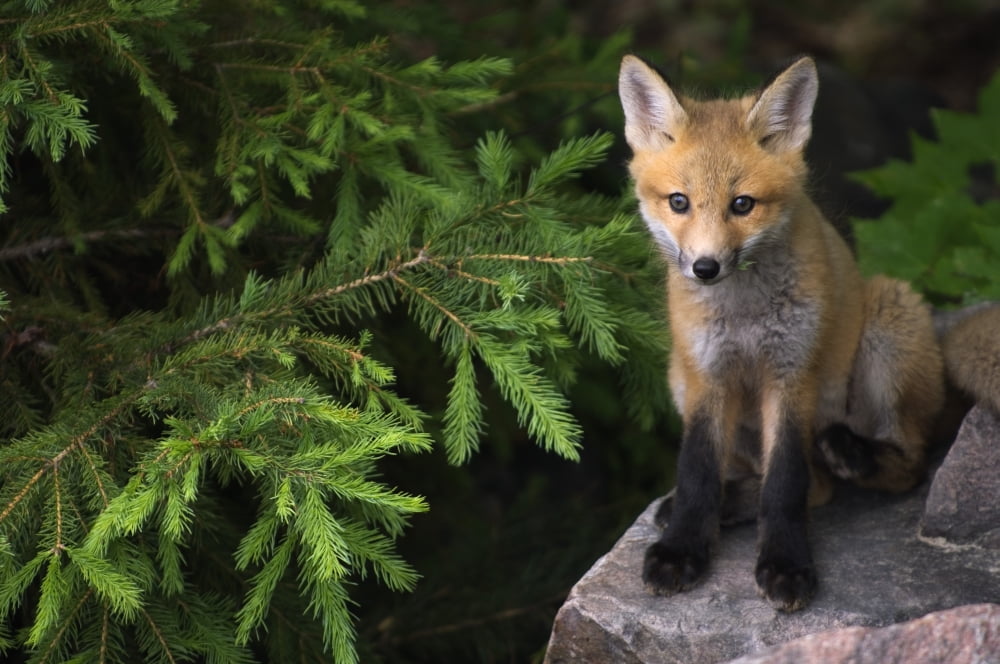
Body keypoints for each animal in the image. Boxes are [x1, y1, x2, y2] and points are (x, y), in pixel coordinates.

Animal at [618, 54, 1000, 612]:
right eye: (679, 202)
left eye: (742, 205)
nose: (705, 268)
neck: (745, 317)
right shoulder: (707, 375)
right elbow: (696, 474)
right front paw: (682, 548)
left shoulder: (793, 374)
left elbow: (786, 483)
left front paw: (785, 566)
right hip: (678, 378)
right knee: (815, 486)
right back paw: (727, 503)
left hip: (887, 320)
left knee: (900, 465)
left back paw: (856, 454)